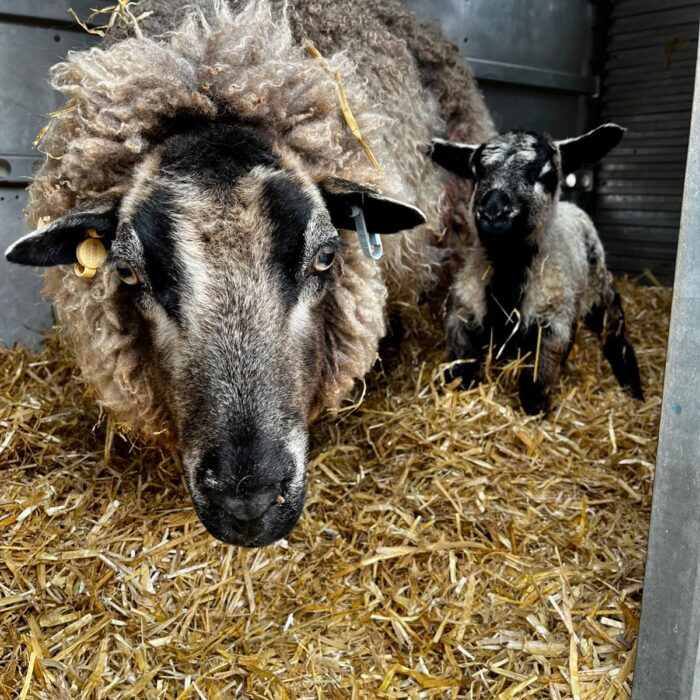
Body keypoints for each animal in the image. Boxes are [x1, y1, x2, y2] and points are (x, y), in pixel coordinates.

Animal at [430, 124, 644, 416]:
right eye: (476, 173)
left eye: (547, 176)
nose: (493, 212)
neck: (508, 273)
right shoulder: (461, 317)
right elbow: (459, 375)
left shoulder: (551, 324)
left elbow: (534, 388)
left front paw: (536, 412)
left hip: (598, 286)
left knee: (615, 332)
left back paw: (632, 385)